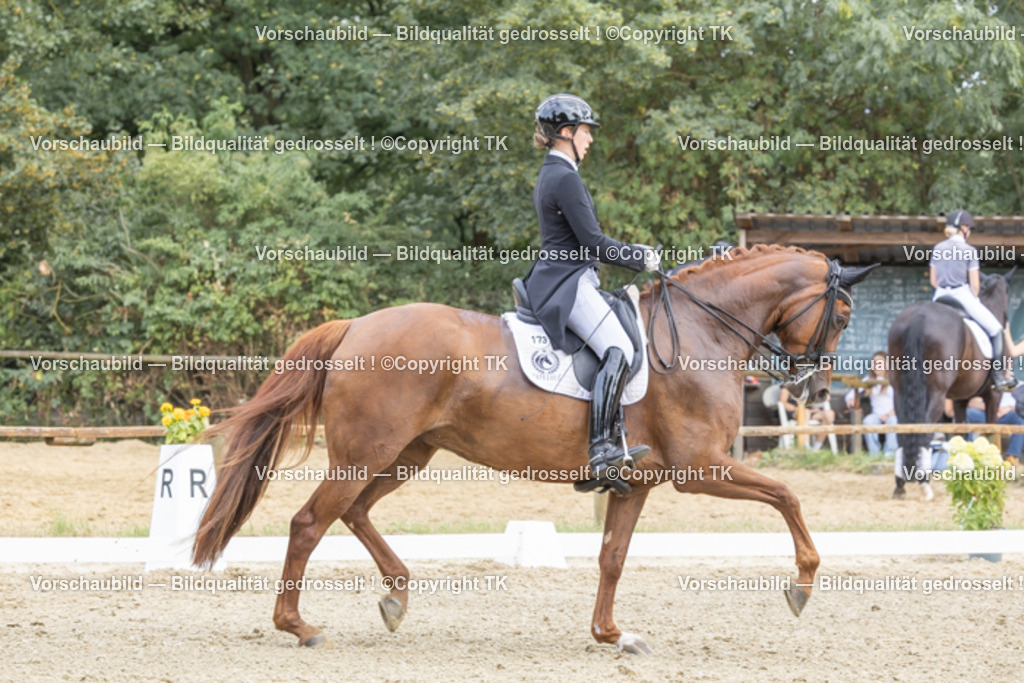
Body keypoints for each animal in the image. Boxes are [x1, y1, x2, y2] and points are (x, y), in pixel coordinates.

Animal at [192, 244, 875, 653]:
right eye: (841, 316)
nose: (816, 391)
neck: (702, 330)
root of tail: (355, 325)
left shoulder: (640, 482)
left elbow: (612, 557)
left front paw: (611, 634)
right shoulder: (701, 467)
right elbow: (787, 494)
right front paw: (802, 584)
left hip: (408, 454)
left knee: (355, 512)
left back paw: (395, 596)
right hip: (366, 454)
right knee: (310, 522)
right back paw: (299, 626)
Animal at [887, 269, 1015, 499]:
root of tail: (919, 316)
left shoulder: (959, 400)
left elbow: (961, 434)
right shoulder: (994, 396)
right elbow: (990, 431)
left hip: (899, 390)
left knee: (905, 429)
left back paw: (900, 484)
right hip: (937, 393)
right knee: (925, 428)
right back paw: (924, 483)